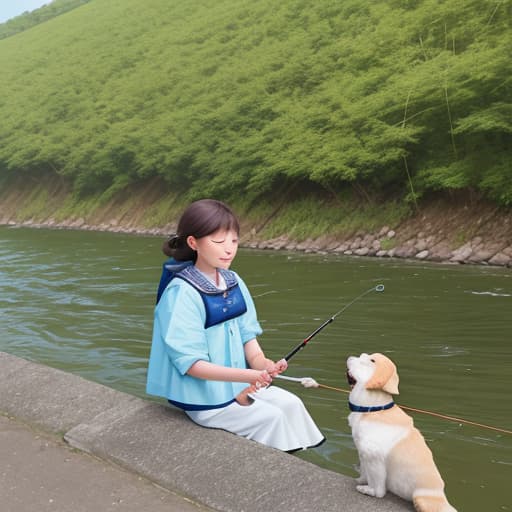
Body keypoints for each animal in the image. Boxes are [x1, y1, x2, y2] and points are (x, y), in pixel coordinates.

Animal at [346, 352, 458, 512]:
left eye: (369, 360)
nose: (349, 357)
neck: (372, 410)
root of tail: (442, 498)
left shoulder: (374, 458)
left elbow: (377, 487)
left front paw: (367, 490)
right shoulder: (363, 454)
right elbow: (364, 473)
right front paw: (360, 480)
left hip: (420, 499)